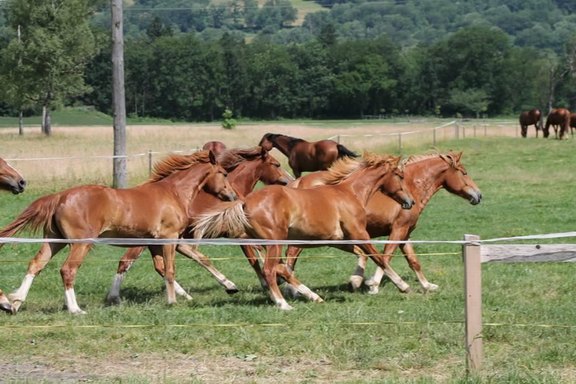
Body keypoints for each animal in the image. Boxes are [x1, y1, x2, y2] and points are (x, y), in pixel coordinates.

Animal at [105, 146, 290, 304]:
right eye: (277, 164)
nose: (288, 181)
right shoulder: (239, 234)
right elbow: (254, 258)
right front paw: (272, 283)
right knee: (126, 262)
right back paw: (115, 297)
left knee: (158, 266)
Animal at [194, 153, 414, 308]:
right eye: (400, 175)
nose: (410, 201)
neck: (350, 193)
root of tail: (244, 202)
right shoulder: (359, 234)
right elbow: (380, 258)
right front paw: (400, 286)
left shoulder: (340, 239)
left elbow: (364, 254)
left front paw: (357, 281)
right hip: (275, 242)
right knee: (269, 270)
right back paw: (283, 304)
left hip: (263, 243)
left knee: (279, 268)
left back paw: (312, 296)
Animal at [286, 151, 482, 294]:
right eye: (464, 172)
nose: (479, 195)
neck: (411, 186)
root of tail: (298, 183)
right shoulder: (397, 230)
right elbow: (386, 256)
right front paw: (373, 284)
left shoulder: (406, 233)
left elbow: (413, 261)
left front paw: (427, 286)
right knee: (290, 258)